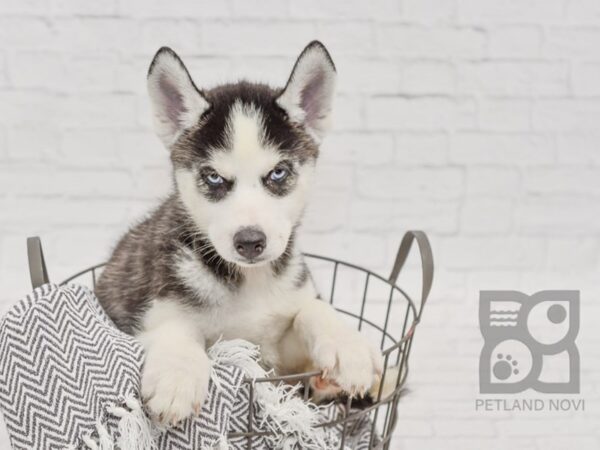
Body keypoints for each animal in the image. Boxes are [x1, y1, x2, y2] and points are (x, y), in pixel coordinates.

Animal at [96, 41, 382, 426]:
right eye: (214, 177)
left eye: (278, 173)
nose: (249, 242)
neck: (250, 281)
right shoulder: (153, 312)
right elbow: (176, 328)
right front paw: (177, 375)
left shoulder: (280, 359)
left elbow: (312, 309)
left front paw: (347, 346)